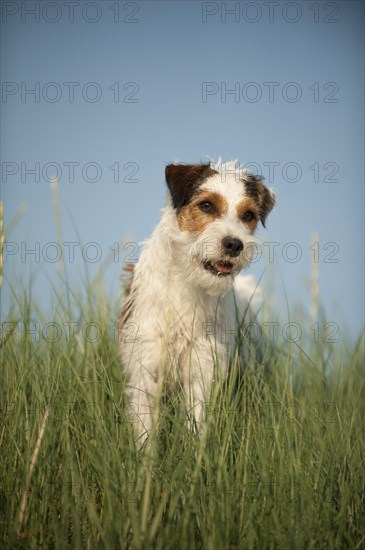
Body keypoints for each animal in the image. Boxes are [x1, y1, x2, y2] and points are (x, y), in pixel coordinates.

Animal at [118, 160, 274, 444]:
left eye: (248, 215)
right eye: (207, 206)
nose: (234, 244)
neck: (188, 284)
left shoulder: (201, 371)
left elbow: (195, 426)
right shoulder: (145, 369)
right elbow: (145, 432)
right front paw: (142, 458)